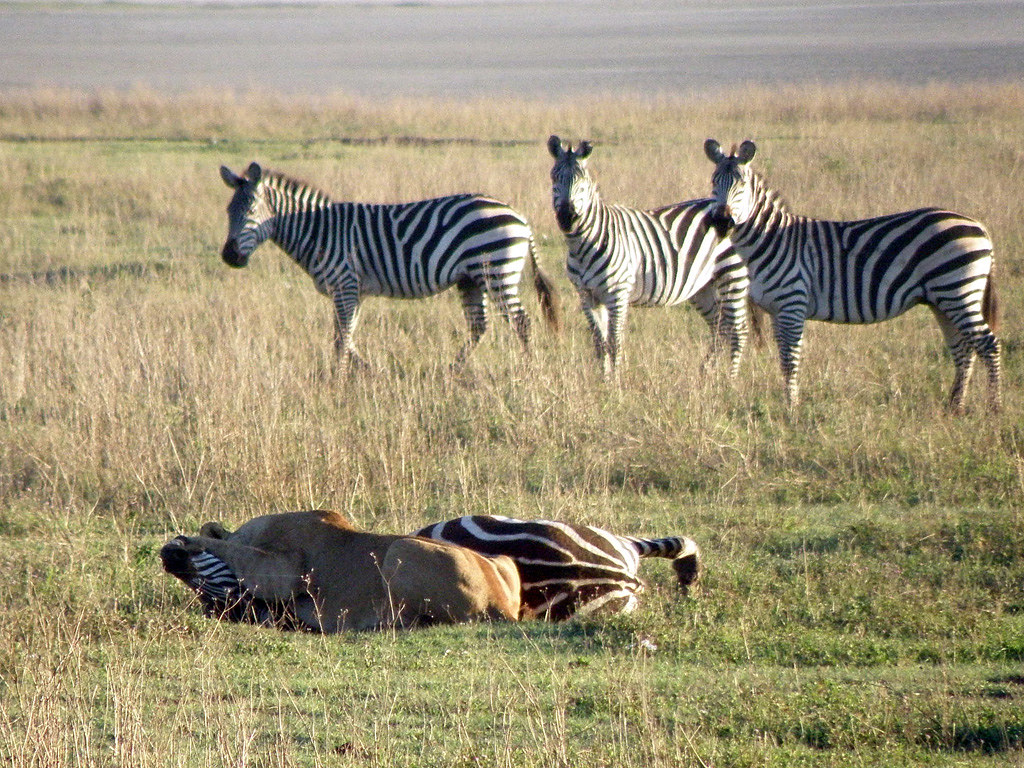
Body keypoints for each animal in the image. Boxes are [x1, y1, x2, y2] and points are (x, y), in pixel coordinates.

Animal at [161, 510, 520, 632]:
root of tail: (501, 607)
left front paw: (189, 538)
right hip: (504, 560)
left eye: (203, 582)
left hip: (401, 549)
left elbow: (226, 545)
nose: (169, 558)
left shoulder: (288, 570)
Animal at [219, 162, 561, 371]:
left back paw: (529, 369)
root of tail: (520, 217)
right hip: (471, 279)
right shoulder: (352, 291)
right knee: (479, 325)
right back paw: (453, 369)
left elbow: (341, 337)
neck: (319, 230)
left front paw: (338, 378)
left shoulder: (345, 284)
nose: (228, 257)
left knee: (521, 322)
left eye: (251, 210)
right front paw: (365, 371)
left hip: (497, 272)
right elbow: (347, 335)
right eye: (228, 211)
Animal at [547, 135, 751, 379]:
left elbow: (615, 342)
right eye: (554, 178)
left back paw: (731, 379)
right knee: (720, 327)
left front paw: (616, 384)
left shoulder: (618, 293)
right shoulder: (587, 295)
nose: (567, 216)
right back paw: (706, 374)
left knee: (738, 331)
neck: (582, 245)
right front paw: (603, 381)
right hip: (703, 286)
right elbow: (599, 342)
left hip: (732, 277)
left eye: (583, 182)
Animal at [704, 139, 1001, 412]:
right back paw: (955, 406)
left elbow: (790, 359)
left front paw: (792, 408)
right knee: (963, 348)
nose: (721, 221)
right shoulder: (778, 311)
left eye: (742, 184)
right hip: (944, 300)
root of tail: (980, 226)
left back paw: (994, 409)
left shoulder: (792, 304)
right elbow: (783, 359)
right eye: (714, 182)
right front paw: (790, 403)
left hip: (957, 292)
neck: (770, 240)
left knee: (988, 345)